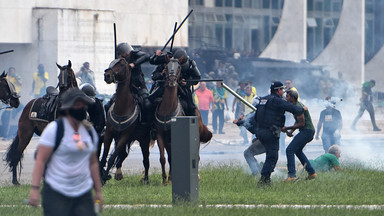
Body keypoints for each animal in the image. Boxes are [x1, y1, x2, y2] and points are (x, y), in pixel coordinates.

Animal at [154, 56, 213, 184]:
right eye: (166, 66)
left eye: (179, 67)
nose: (172, 80)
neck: (168, 109)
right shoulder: (161, 136)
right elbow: (163, 158)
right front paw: (165, 180)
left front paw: (171, 179)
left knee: (197, 156)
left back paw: (196, 176)